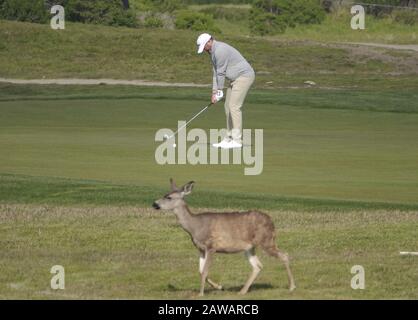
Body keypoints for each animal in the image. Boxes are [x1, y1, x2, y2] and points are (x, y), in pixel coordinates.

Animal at [152, 179, 296, 296]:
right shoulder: (200, 249)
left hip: (266, 240)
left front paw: (201, 294)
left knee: (284, 255)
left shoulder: (211, 246)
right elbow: (200, 270)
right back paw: (242, 291)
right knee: (258, 266)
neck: (195, 227)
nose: (154, 204)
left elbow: (205, 271)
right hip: (249, 247)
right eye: (165, 195)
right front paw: (219, 287)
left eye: (169, 197)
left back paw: (291, 287)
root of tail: (271, 221)